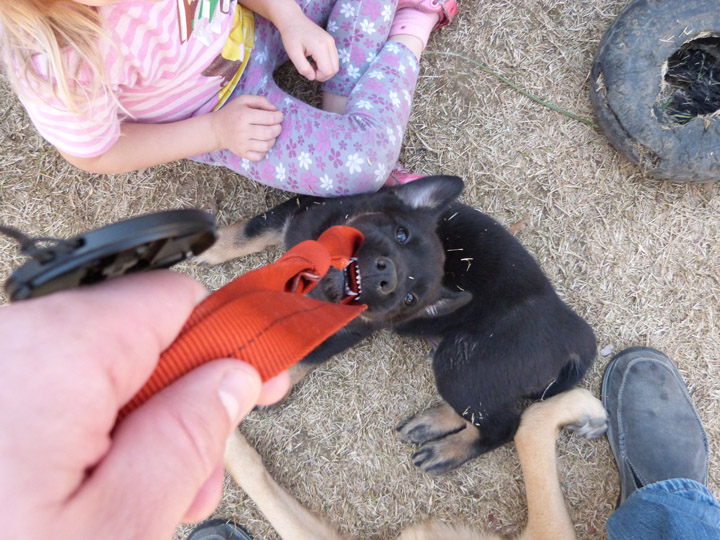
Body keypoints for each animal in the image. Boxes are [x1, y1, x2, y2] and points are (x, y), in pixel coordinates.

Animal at [198, 176, 596, 472]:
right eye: (400, 233)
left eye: (410, 299)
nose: (386, 277)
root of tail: (577, 339)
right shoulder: (300, 211)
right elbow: (254, 229)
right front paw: (213, 247)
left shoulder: (351, 328)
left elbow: (308, 353)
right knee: (482, 409)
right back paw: (431, 423)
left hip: (461, 360)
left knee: (504, 425)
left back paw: (445, 452)